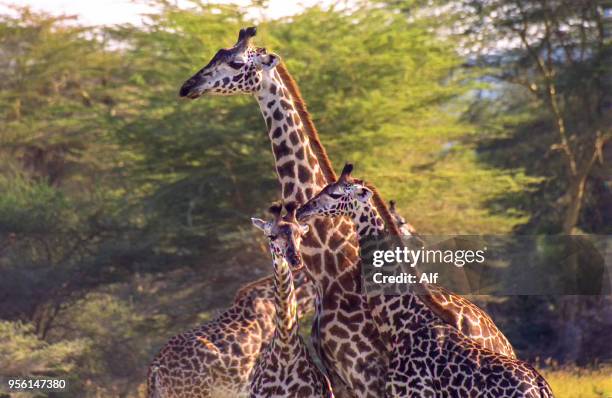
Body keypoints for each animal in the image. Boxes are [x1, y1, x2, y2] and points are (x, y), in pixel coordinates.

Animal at [296, 163, 556, 396]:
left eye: (335, 193)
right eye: (325, 187)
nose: (302, 210)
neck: (401, 324)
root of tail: (540, 387)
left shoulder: (411, 393)